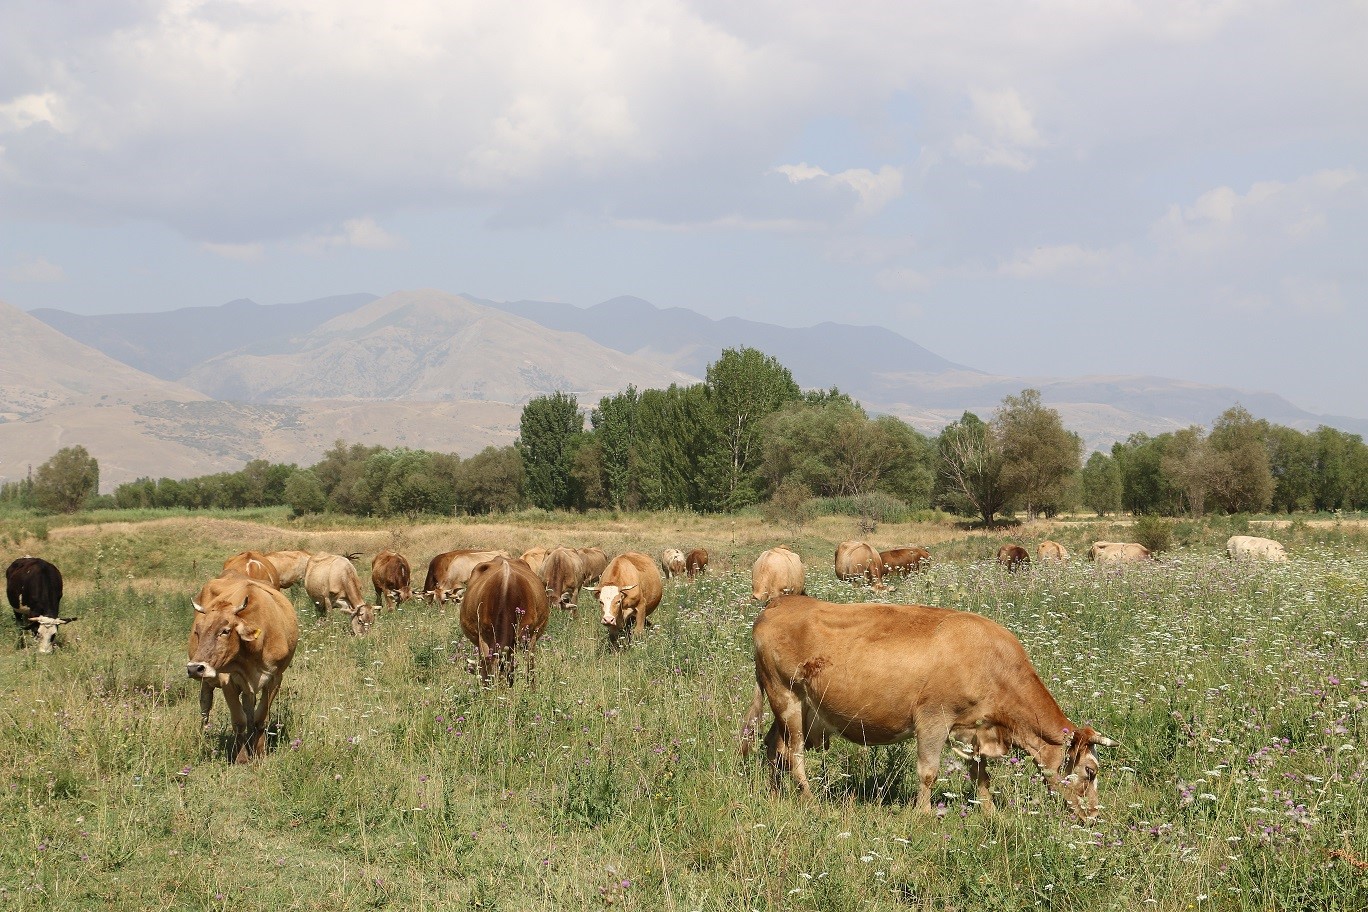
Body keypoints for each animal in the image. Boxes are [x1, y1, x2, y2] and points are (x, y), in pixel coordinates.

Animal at [187, 577, 299, 765]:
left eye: (225, 631)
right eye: (198, 631)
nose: (194, 668)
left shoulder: (275, 678)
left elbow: (260, 717)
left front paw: (259, 752)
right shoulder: (227, 679)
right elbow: (239, 720)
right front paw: (241, 758)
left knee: (249, 707)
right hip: (207, 682)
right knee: (205, 704)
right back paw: (205, 734)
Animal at [738, 598, 1110, 820]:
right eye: (1091, 771)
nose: (1094, 815)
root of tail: (780, 601)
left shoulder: (972, 729)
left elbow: (981, 774)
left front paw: (990, 813)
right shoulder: (934, 718)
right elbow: (928, 771)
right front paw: (922, 815)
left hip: (789, 707)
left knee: (773, 746)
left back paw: (774, 795)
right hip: (786, 698)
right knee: (794, 754)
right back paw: (811, 801)